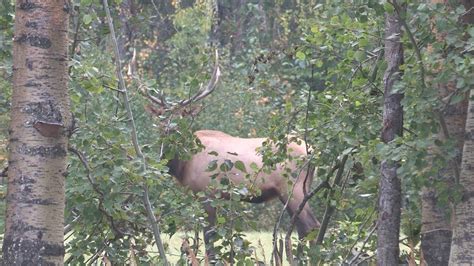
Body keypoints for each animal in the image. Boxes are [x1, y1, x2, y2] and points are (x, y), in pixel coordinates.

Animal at [168, 130, 320, 256]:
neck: (182, 165)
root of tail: (312, 151)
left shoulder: (207, 194)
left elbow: (208, 235)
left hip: (292, 189)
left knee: (311, 225)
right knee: (302, 228)